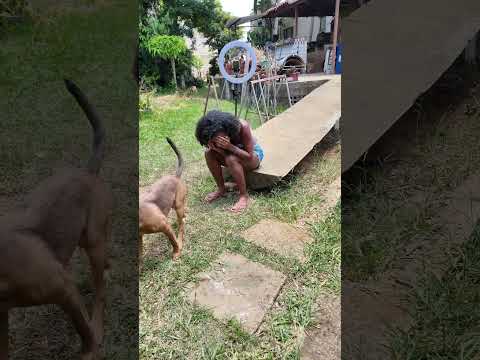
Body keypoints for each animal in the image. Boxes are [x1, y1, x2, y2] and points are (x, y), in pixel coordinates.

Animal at [0, 79, 111, 360]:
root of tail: (87, 172)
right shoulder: (0, 315)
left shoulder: (63, 289)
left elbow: (83, 330)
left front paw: (90, 350)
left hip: (92, 240)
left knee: (99, 293)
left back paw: (98, 324)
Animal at [139, 136, 188, 266]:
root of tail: (175, 176)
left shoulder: (165, 226)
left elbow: (173, 242)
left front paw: (176, 252)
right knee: (183, 217)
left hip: (178, 206)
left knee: (181, 225)